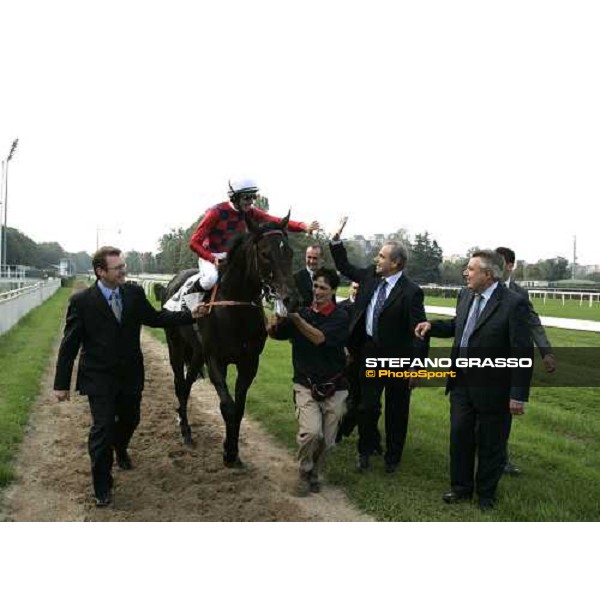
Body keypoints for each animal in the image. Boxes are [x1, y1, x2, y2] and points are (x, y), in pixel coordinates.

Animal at [159, 213, 300, 466]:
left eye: (290, 252)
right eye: (265, 253)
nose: (291, 299)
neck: (236, 307)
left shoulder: (249, 362)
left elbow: (240, 408)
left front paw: (232, 450)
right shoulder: (216, 360)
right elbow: (228, 407)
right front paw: (229, 453)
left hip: (197, 353)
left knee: (187, 384)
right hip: (176, 346)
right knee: (179, 385)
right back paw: (185, 430)